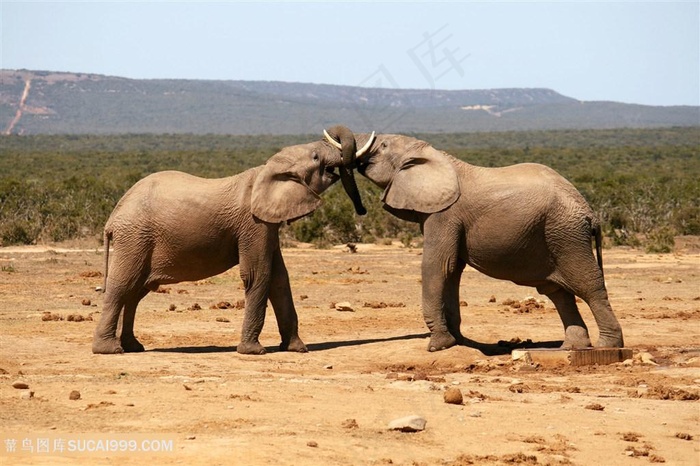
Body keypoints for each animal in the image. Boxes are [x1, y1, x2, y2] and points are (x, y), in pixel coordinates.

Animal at [96, 125, 378, 354]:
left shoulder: (267, 224)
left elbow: (280, 278)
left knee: (135, 292)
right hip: (134, 238)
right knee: (122, 286)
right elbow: (258, 274)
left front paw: (297, 349)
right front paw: (254, 351)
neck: (268, 169)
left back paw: (134, 347)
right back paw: (109, 350)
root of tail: (112, 218)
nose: (363, 210)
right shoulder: (253, 224)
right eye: (316, 157)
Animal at [330, 129, 628, 352]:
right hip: (555, 235)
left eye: (382, 145)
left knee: (588, 286)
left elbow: (438, 266)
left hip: (567, 235)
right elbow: (452, 271)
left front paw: (438, 345)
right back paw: (571, 348)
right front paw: (458, 342)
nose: (360, 210)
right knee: (557, 292)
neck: (433, 154)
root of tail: (590, 213)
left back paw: (607, 347)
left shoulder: (444, 214)